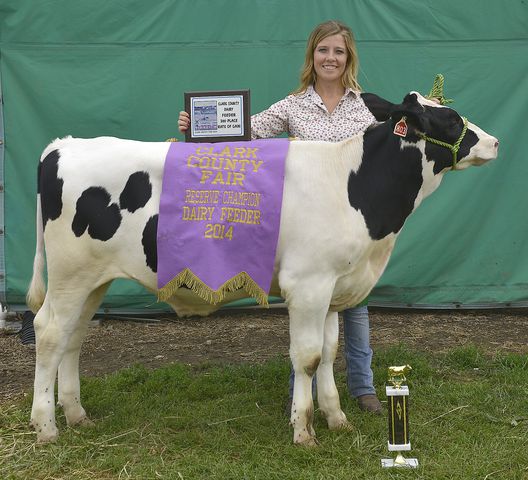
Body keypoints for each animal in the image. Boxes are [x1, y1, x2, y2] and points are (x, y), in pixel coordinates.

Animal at [26, 92, 500, 444]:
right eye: (450, 119)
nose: (494, 142)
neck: (352, 185)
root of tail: (63, 145)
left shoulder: (332, 286)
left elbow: (329, 353)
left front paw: (337, 419)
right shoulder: (307, 285)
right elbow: (307, 358)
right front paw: (304, 431)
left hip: (93, 280)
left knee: (74, 337)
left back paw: (77, 415)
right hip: (69, 275)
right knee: (49, 332)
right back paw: (46, 427)